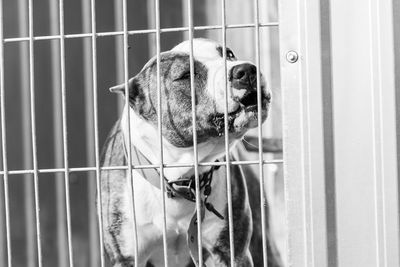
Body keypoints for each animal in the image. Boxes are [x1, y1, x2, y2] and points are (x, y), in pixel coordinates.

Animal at [99, 38, 282, 267]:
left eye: (229, 54)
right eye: (186, 75)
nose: (246, 70)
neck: (181, 178)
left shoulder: (231, 252)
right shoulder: (126, 257)